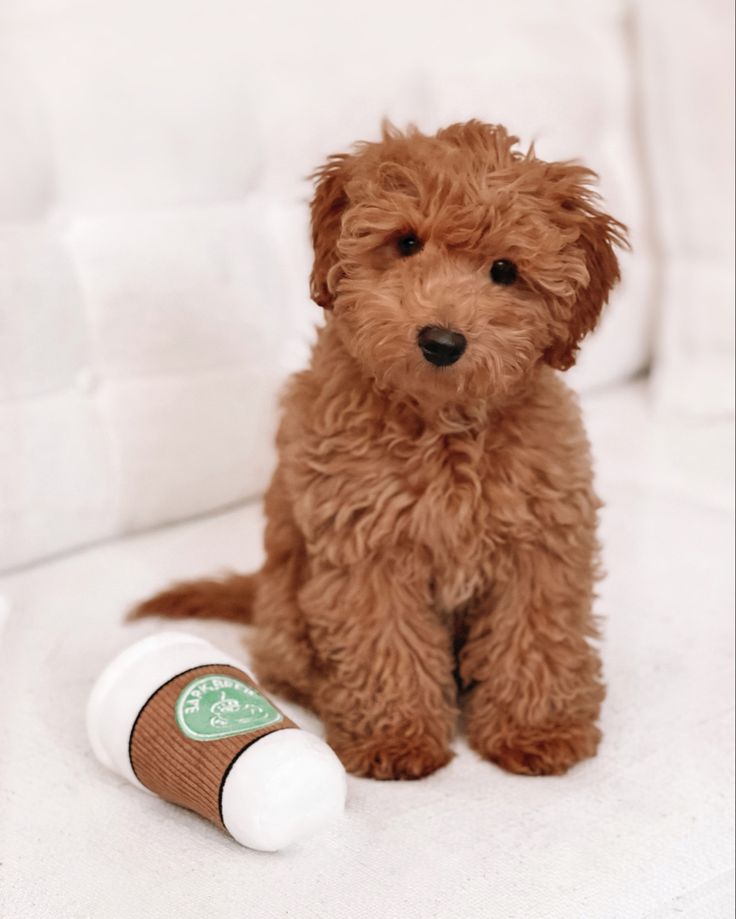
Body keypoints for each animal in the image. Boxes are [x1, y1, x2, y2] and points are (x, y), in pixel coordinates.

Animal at [134, 120, 628, 784]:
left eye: (504, 270)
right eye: (406, 242)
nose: (441, 340)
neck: (442, 424)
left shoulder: (541, 537)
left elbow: (536, 635)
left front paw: (537, 728)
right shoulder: (366, 546)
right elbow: (383, 641)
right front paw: (396, 736)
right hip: (288, 608)